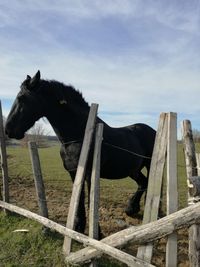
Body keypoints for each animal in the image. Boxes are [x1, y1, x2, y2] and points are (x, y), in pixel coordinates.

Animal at [4, 70, 155, 232]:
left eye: (22, 98)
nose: (8, 130)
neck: (80, 135)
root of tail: (152, 130)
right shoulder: (73, 172)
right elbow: (79, 199)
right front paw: (77, 227)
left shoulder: (88, 174)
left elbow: (89, 200)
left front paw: (96, 232)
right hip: (133, 170)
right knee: (143, 183)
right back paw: (131, 209)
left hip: (148, 165)